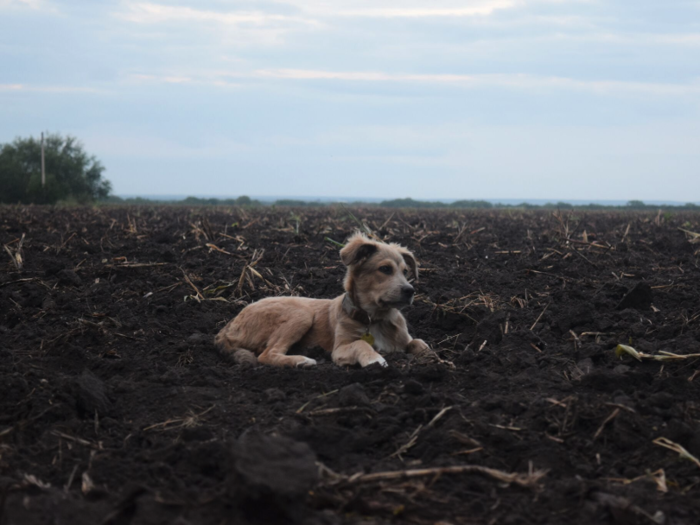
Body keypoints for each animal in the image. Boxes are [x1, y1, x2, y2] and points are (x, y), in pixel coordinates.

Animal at [216, 231, 430, 366]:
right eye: (385, 269)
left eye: (405, 271)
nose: (410, 290)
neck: (375, 319)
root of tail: (230, 325)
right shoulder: (339, 349)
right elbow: (360, 343)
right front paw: (374, 359)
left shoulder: (405, 339)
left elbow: (419, 342)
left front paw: (431, 357)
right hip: (301, 314)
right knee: (266, 354)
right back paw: (302, 360)